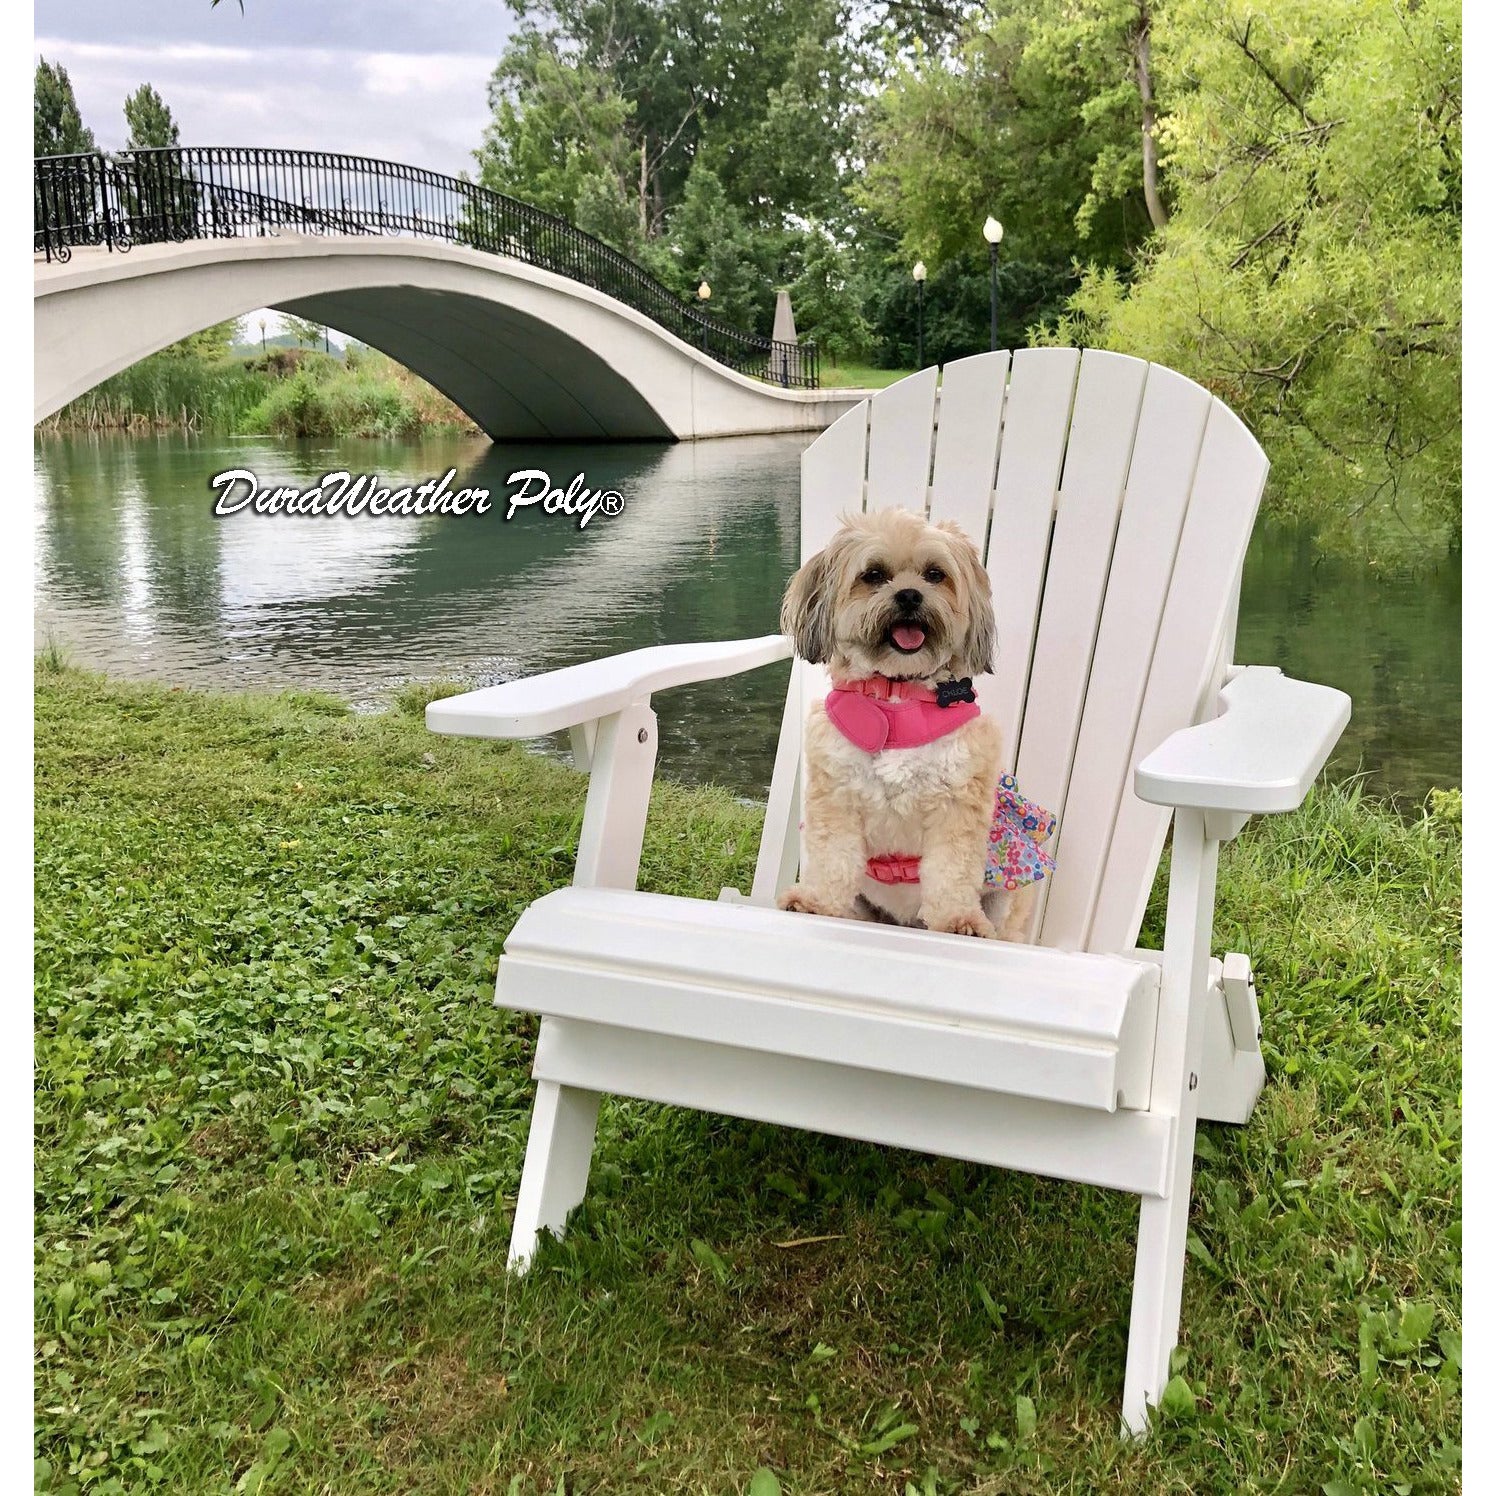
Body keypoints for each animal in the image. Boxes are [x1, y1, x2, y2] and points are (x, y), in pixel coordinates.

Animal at [777, 508, 1059, 939]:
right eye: (874, 574)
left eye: (935, 574)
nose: (909, 595)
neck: (897, 695)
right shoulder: (837, 797)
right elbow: (832, 858)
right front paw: (815, 901)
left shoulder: (957, 805)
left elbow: (951, 870)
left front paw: (958, 920)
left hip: (1007, 897)